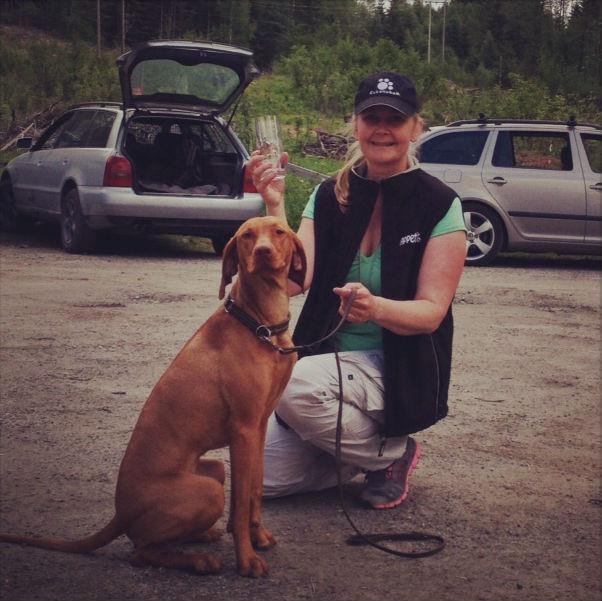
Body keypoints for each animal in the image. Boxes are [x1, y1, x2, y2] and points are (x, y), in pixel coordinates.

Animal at [0, 217, 308, 576]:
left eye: (279, 232)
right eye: (247, 236)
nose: (262, 252)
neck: (260, 324)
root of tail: (120, 513)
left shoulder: (257, 427)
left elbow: (254, 490)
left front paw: (257, 536)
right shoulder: (243, 429)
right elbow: (241, 501)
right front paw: (246, 559)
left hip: (214, 469)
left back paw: (202, 536)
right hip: (207, 490)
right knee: (142, 551)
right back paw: (198, 560)